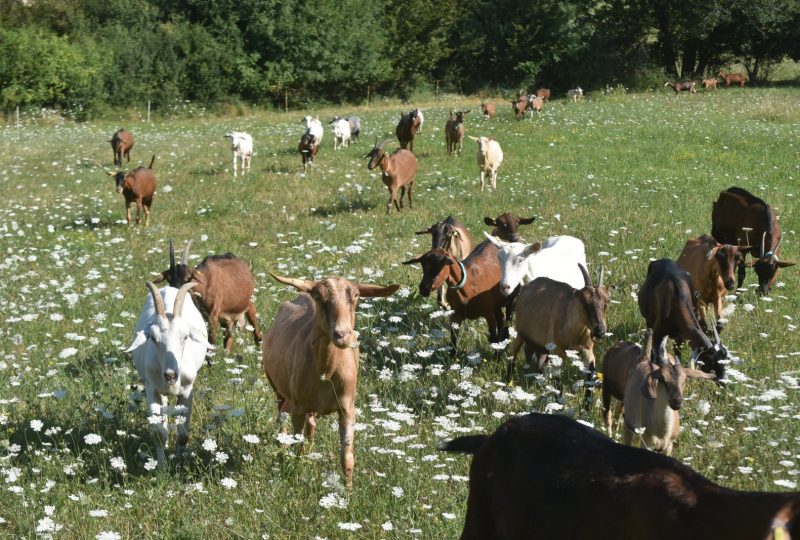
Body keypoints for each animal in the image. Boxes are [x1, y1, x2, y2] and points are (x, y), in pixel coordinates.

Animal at [126, 282, 211, 464]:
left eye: (185, 336)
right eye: (152, 337)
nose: (170, 375)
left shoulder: (187, 392)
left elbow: (183, 435)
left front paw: (179, 461)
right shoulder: (152, 390)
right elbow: (158, 433)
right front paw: (162, 465)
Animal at [264, 272, 398, 488]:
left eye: (356, 295)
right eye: (319, 297)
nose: (342, 335)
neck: (326, 373)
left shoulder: (347, 408)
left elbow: (347, 456)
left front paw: (348, 490)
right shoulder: (298, 407)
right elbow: (296, 445)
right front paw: (295, 475)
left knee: (310, 425)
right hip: (278, 390)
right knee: (282, 420)